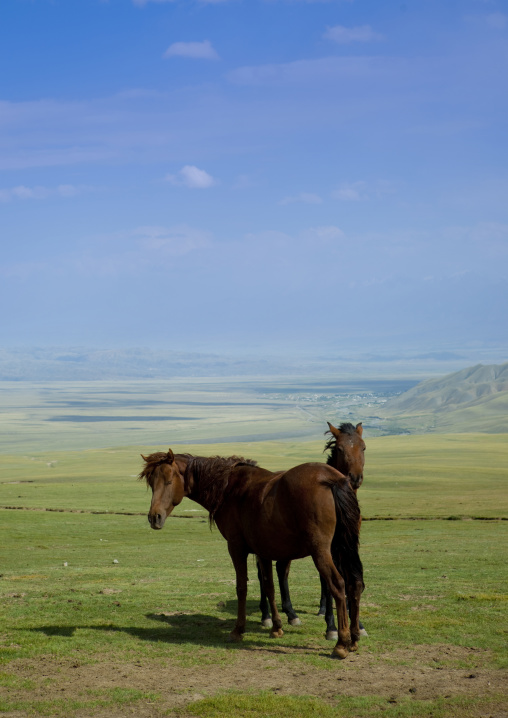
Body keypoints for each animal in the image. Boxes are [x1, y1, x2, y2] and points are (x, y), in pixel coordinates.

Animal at [140, 449, 364, 659]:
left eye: (168, 480)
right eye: (151, 483)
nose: (154, 517)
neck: (228, 488)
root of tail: (331, 478)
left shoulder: (236, 548)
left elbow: (242, 588)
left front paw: (238, 630)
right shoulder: (263, 551)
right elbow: (269, 587)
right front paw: (276, 627)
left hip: (322, 552)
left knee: (338, 585)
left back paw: (341, 643)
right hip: (343, 548)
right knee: (355, 584)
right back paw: (354, 639)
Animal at [258, 421, 366, 640]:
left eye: (363, 447)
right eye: (339, 449)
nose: (355, 478)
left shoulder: (346, 545)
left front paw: (357, 624)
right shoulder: (326, 547)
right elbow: (330, 582)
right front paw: (332, 626)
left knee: (281, 570)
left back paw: (291, 614)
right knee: (262, 574)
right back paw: (266, 616)